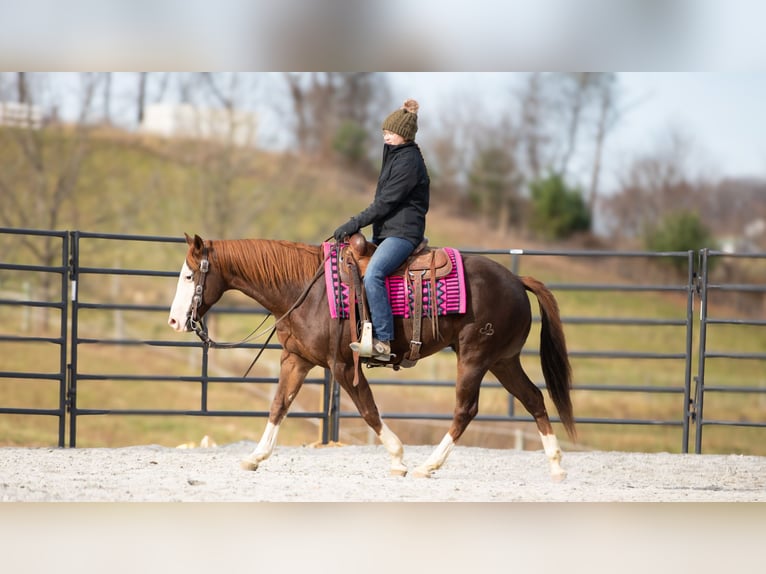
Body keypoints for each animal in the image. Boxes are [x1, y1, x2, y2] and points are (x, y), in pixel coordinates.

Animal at [168, 234, 576, 482]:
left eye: (189, 276)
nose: (174, 321)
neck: (307, 290)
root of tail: (517, 281)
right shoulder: (296, 360)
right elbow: (279, 405)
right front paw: (255, 456)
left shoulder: (341, 366)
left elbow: (368, 409)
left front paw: (397, 458)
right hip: (503, 361)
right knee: (534, 399)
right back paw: (556, 466)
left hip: (474, 358)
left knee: (466, 410)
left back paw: (428, 465)